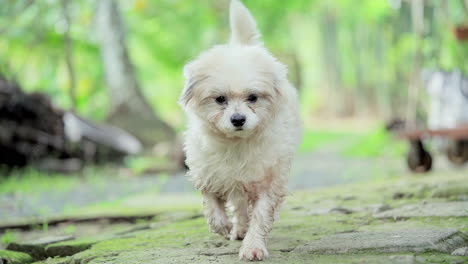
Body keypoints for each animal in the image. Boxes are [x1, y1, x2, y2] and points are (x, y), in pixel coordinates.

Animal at [177, 0, 302, 260]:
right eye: (220, 99)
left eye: (252, 97)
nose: (238, 119)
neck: (236, 143)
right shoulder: (208, 171)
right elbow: (211, 202)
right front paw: (223, 225)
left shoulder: (267, 178)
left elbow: (261, 214)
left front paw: (253, 246)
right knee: (239, 203)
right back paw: (238, 227)